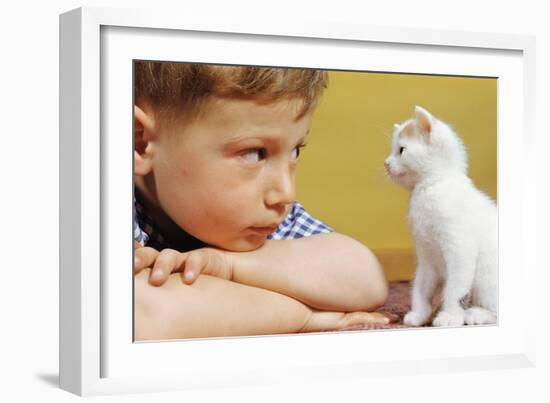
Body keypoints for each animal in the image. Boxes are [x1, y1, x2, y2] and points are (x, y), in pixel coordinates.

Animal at [386, 105, 498, 326]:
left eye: (401, 150)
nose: (386, 163)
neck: (428, 188)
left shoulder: (460, 250)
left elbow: (455, 289)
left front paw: (451, 316)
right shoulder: (426, 256)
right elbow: (421, 286)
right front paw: (419, 313)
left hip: (487, 276)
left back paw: (476, 314)